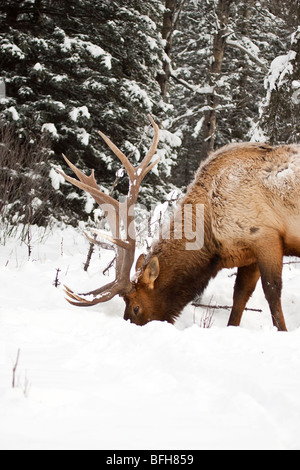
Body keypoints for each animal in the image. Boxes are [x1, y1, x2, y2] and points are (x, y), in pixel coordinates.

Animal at [58, 116, 300, 330]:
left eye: (135, 307)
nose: (132, 327)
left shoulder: (265, 236)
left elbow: (271, 291)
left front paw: (282, 330)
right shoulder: (248, 252)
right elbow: (240, 296)